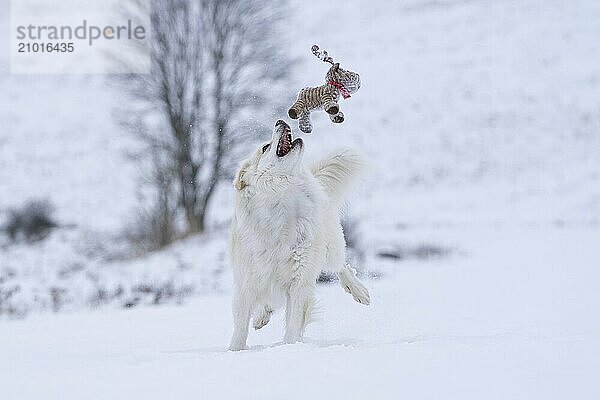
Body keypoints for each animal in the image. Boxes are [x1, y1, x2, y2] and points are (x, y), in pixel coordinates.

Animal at [230, 119, 370, 350]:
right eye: (265, 147)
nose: (280, 120)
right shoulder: (246, 283)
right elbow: (240, 329)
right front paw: (234, 352)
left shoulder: (299, 281)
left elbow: (294, 323)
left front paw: (290, 347)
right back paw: (261, 318)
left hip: (330, 249)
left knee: (341, 265)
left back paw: (359, 291)